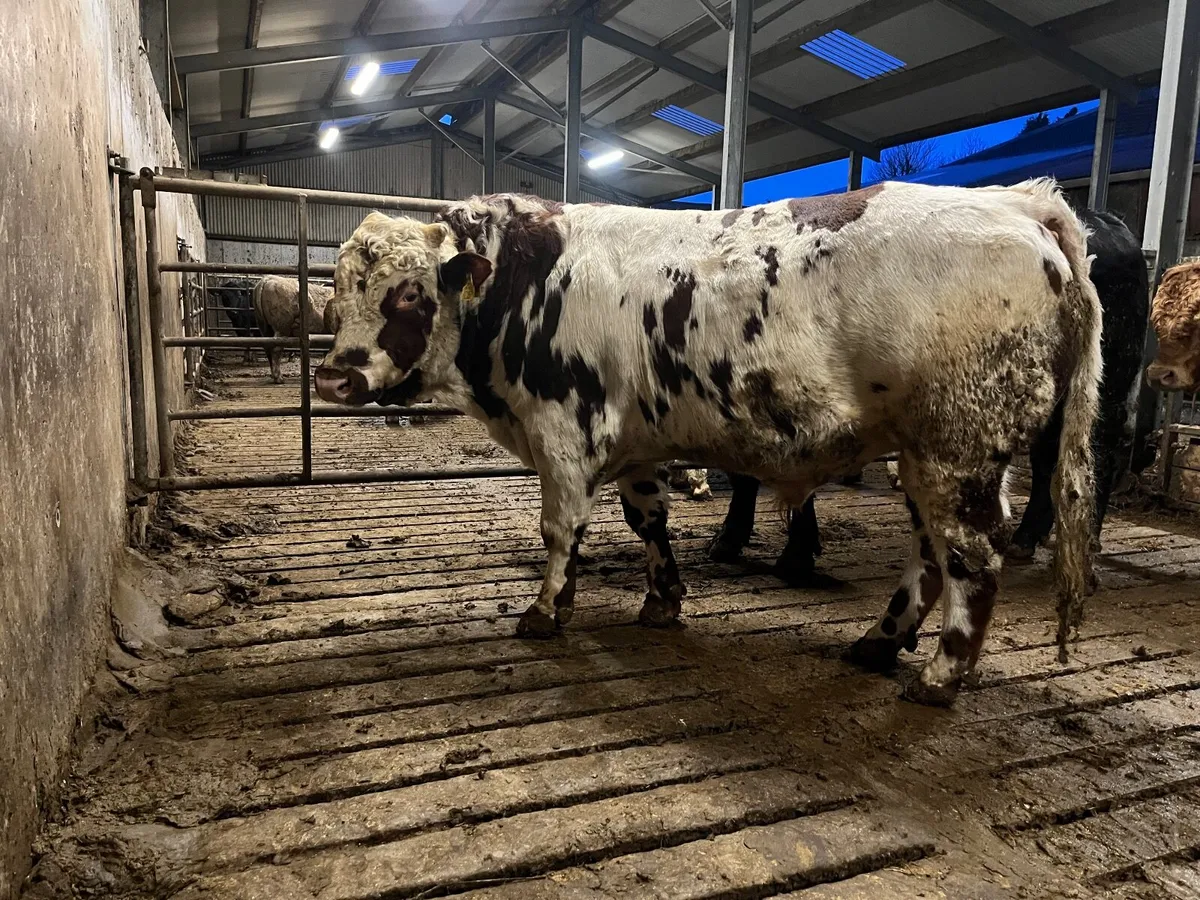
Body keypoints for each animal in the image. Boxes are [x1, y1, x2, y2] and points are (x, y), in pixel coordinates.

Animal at [314, 182, 1101, 705]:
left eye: (408, 293)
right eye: (339, 290)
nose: (334, 376)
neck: (521, 281)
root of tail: (1020, 202)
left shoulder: (564, 429)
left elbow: (560, 528)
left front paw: (544, 612)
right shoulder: (634, 445)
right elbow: (647, 520)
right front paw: (661, 600)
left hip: (957, 446)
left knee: (971, 557)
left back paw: (940, 675)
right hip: (926, 453)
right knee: (932, 555)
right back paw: (879, 644)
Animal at [708, 209, 1151, 579]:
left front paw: (792, 554)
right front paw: (736, 539)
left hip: (1107, 381)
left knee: (1099, 453)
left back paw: (1085, 543)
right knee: (1050, 460)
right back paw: (1028, 539)